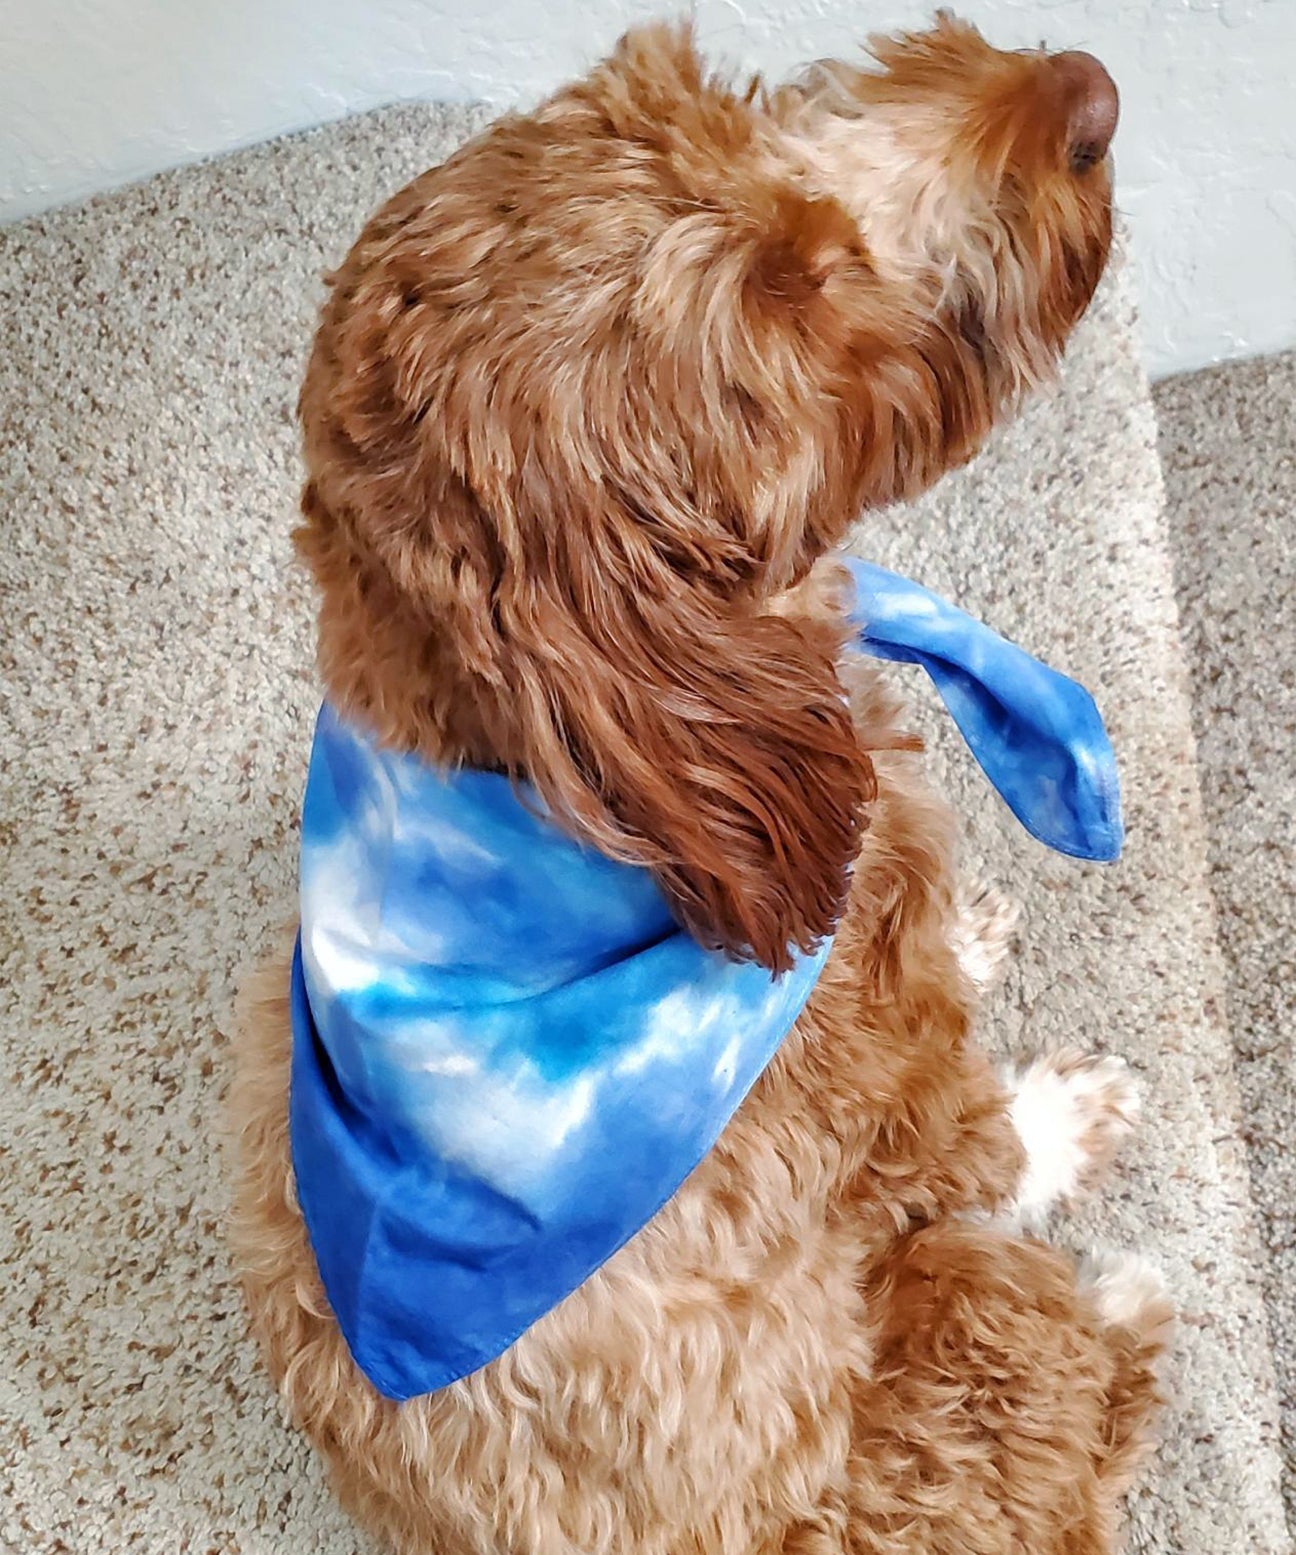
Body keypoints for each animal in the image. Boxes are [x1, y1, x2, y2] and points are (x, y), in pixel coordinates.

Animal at [227, 15, 1169, 1555]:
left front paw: (966, 931)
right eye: (803, 298)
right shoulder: (874, 1109)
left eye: (732, 100)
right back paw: (1126, 1310)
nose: (1086, 91)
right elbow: (975, 1128)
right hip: (951, 1348)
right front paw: (1069, 1112)